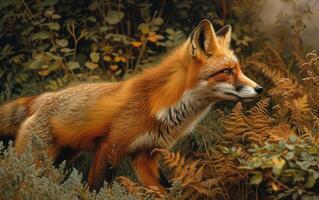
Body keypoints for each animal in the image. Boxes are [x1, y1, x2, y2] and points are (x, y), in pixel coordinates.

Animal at [0, 19, 262, 192]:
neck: (162, 103)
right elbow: (95, 189)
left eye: (239, 69)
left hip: (63, 157)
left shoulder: (145, 156)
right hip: (38, 161)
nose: (260, 89)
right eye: (226, 71)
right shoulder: (110, 148)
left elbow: (165, 191)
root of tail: (40, 98)